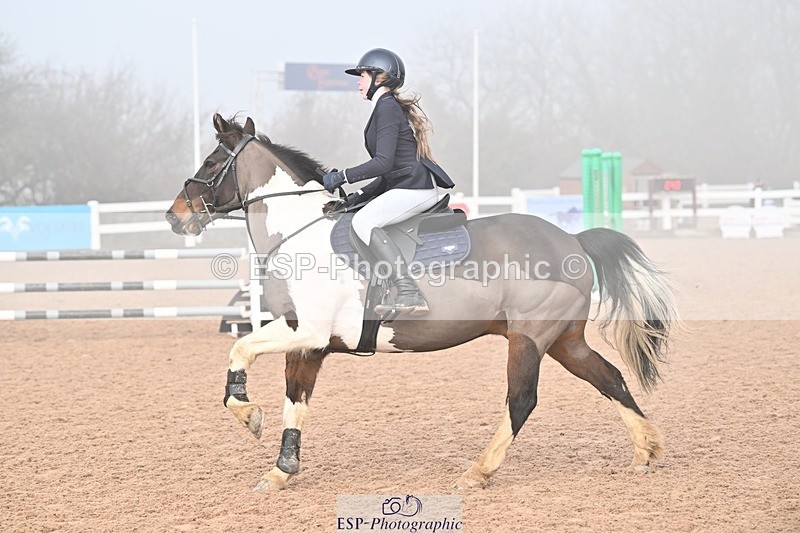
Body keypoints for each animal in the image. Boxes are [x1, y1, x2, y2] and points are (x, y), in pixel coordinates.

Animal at [165, 114, 679, 492]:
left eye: (210, 162)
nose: (174, 216)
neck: (299, 233)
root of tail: (571, 238)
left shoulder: (305, 329)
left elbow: (240, 349)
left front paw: (248, 413)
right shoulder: (308, 343)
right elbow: (296, 401)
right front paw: (281, 469)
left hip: (529, 339)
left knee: (522, 400)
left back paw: (479, 471)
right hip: (563, 341)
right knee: (610, 377)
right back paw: (646, 449)